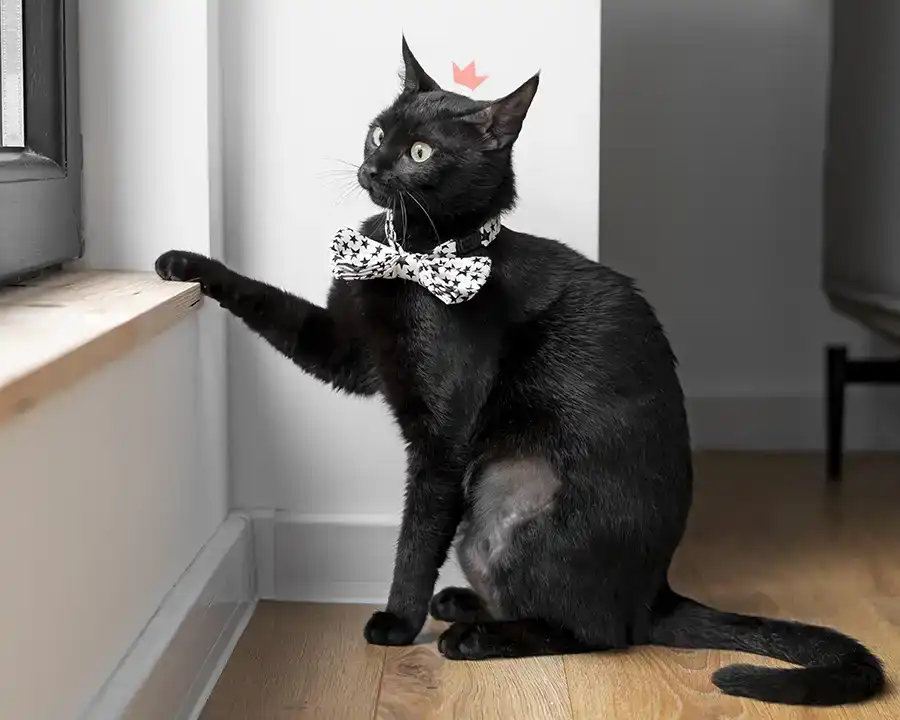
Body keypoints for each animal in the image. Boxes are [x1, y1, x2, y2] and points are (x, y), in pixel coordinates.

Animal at [153, 36, 880, 704]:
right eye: (380, 131)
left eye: (421, 154)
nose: (371, 166)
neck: (415, 255)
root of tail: (655, 592)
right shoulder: (344, 350)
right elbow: (265, 299)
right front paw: (184, 264)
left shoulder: (442, 447)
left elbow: (415, 539)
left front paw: (395, 623)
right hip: (485, 517)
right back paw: (463, 606)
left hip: (510, 505)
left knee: (596, 633)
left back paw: (471, 637)